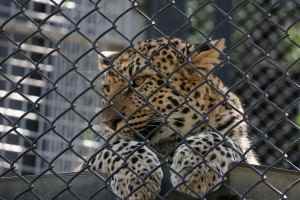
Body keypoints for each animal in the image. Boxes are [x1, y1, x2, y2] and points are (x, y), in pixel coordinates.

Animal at [88, 36, 258, 199]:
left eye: (138, 81)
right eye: (106, 89)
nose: (108, 123)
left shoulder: (245, 152)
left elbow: (217, 138)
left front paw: (196, 170)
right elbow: (120, 147)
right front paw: (137, 177)